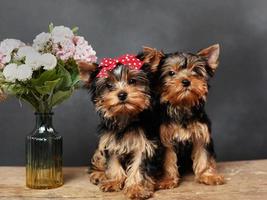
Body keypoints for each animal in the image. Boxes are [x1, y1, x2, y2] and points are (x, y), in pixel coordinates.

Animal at [78, 53, 160, 200]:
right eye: (109, 85)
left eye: (132, 81)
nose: (122, 94)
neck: (125, 117)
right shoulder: (109, 142)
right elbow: (113, 163)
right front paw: (114, 181)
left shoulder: (144, 144)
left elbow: (138, 167)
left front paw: (136, 188)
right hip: (99, 149)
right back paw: (99, 174)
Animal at [141, 44, 225, 189]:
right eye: (171, 73)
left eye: (195, 71)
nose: (186, 81)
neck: (182, 105)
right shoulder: (165, 137)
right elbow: (168, 159)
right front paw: (168, 179)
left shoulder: (201, 134)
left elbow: (204, 155)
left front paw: (207, 175)